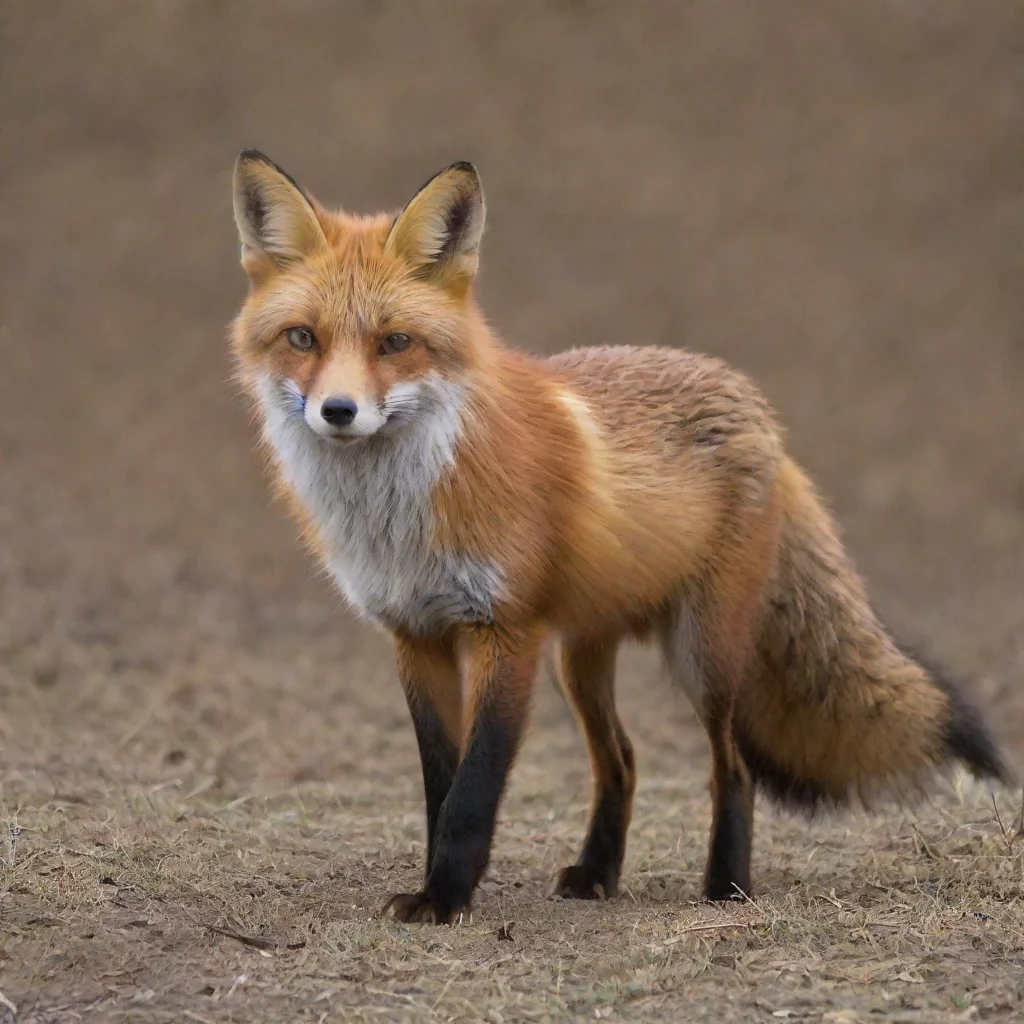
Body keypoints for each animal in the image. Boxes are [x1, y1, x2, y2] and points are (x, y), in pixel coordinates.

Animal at [228, 150, 1009, 925]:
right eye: (303, 338)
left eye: (395, 342)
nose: (338, 410)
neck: (398, 515)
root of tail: (756, 406)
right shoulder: (415, 636)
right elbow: (438, 787)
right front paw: (436, 889)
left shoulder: (506, 631)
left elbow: (473, 789)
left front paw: (446, 897)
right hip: (579, 660)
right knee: (624, 762)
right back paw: (599, 873)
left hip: (705, 656)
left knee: (734, 766)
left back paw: (725, 886)